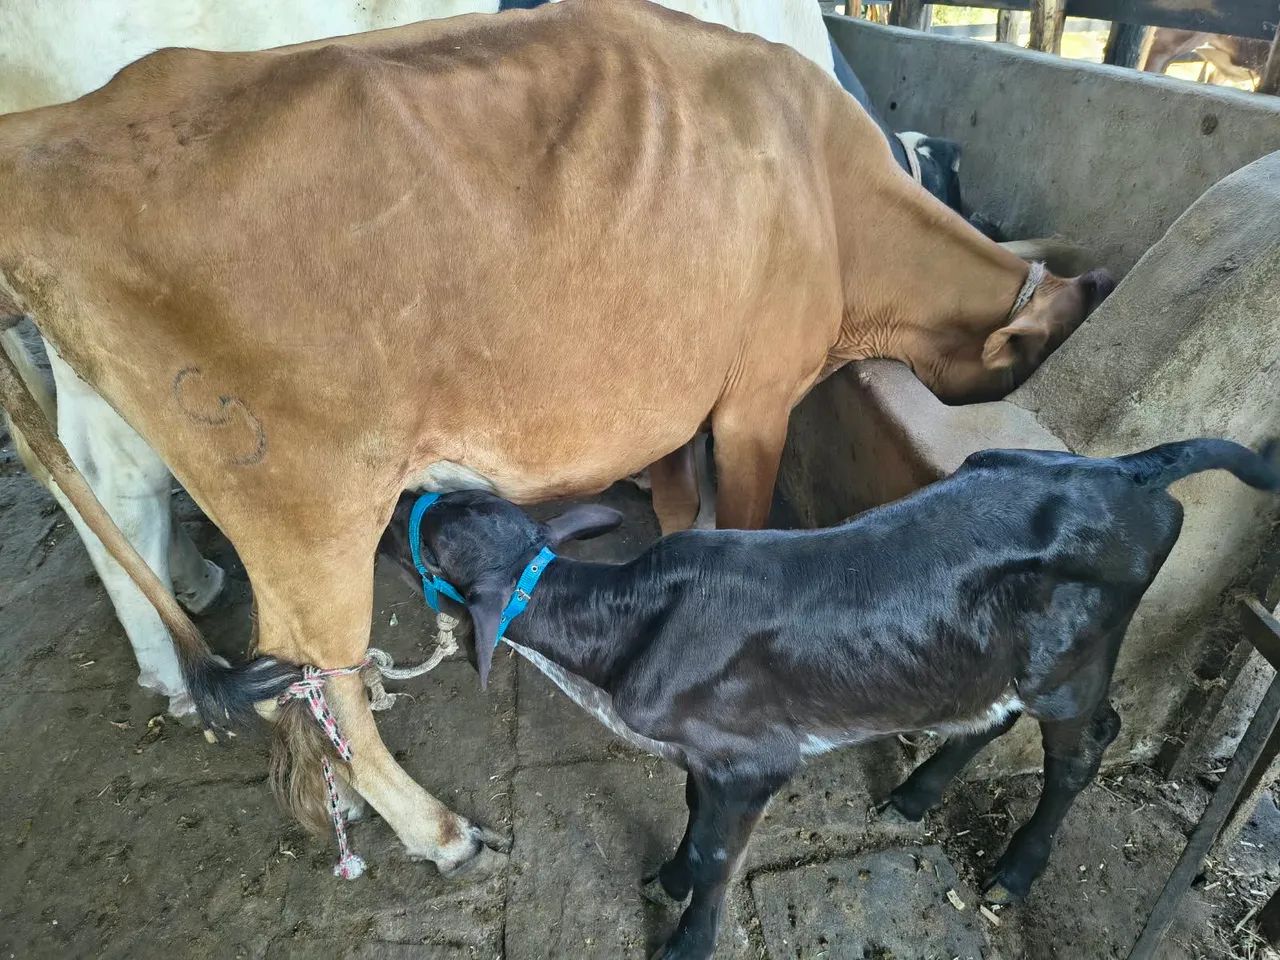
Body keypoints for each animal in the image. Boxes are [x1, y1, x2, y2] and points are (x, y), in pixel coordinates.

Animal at [0, 0, 1111, 876]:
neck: (835, 201)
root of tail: (53, 135)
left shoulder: (672, 401)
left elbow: (677, 507)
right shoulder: (755, 396)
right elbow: (741, 520)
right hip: (306, 503)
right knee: (308, 669)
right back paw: (430, 827)